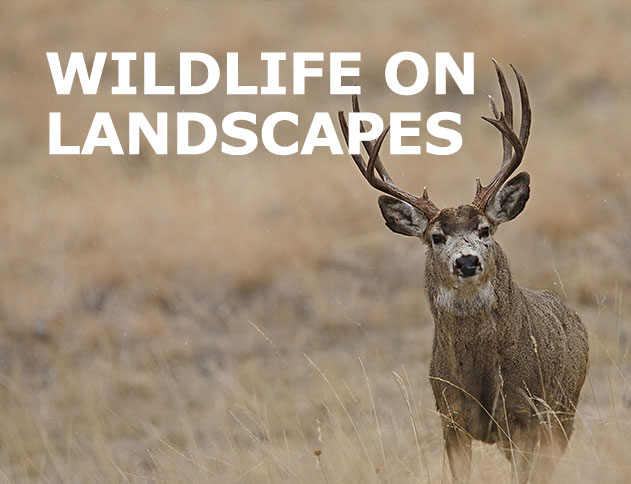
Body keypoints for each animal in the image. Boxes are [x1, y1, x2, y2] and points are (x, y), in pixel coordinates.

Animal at [338, 61, 592, 484]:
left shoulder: (524, 413)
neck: (481, 379)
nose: (468, 261)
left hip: (563, 410)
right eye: (436, 237)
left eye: (485, 229)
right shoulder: (451, 419)